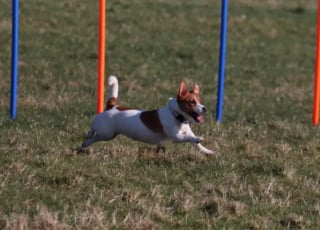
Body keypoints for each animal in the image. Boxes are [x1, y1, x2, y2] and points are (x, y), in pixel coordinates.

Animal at [81, 76, 214, 155]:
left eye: (200, 101)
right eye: (192, 102)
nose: (205, 108)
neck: (176, 115)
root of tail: (112, 106)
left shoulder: (186, 132)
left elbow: (196, 143)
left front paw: (207, 151)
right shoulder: (176, 137)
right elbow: (189, 138)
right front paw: (198, 138)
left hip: (108, 134)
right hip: (106, 133)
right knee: (94, 129)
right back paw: (87, 140)